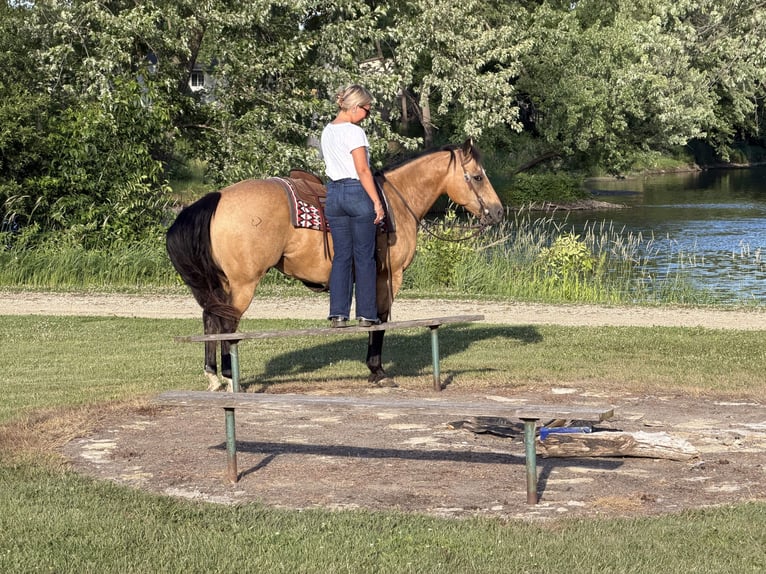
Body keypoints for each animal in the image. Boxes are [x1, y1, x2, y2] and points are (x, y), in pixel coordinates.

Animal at [166, 138, 504, 390]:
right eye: (478, 176)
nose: (498, 212)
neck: (396, 203)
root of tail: (218, 197)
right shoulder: (388, 276)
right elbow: (379, 320)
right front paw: (377, 371)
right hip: (243, 283)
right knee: (227, 324)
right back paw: (228, 375)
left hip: (222, 283)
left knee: (210, 319)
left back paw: (213, 375)